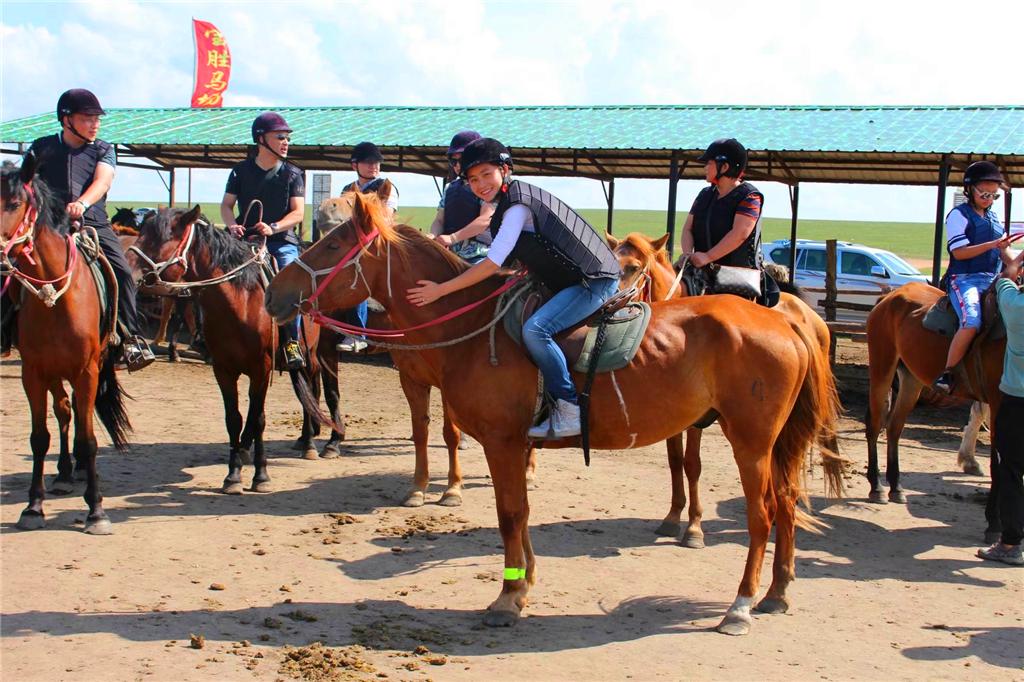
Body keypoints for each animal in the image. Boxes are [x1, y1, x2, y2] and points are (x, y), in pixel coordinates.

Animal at [132, 204, 321, 491]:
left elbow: (259, 418)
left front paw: (261, 475)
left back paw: (308, 443)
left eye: (160, 239)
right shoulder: (223, 370)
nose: (129, 272)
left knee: (307, 389)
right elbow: (234, 419)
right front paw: (233, 474)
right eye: (142, 233)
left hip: (308, 353)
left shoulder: (261, 368)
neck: (240, 303)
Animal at [266, 189, 839, 630]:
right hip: (775, 444)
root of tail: (785, 320)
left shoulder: (501, 442)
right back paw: (776, 594)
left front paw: (505, 597)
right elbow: (520, 516)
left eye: (334, 242)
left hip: (751, 441)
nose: (275, 292)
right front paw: (522, 587)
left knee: (763, 515)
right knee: (787, 503)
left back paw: (739, 606)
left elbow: (508, 514)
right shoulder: (515, 443)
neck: (472, 329)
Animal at [864, 278, 999, 540]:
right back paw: (877, 487)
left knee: (894, 428)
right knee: (875, 426)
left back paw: (896, 486)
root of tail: (891, 295)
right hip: (882, 369)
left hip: (911, 379)